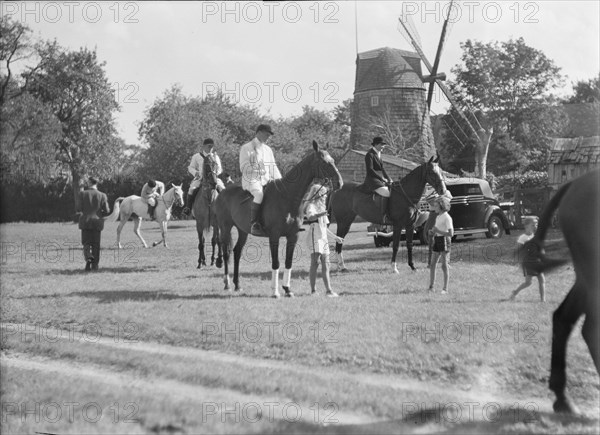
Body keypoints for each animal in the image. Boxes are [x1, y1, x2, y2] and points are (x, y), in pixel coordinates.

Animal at [213, 141, 342, 298]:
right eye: (324, 163)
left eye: (333, 161)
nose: (339, 183)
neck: (287, 197)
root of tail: (222, 191)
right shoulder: (274, 236)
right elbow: (276, 263)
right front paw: (275, 292)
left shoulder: (293, 236)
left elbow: (288, 262)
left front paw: (287, 289)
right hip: (225, 228)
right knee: (226, 254)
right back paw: (227, 284)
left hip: (242, 230)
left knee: (237, 252)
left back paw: (237, 285)